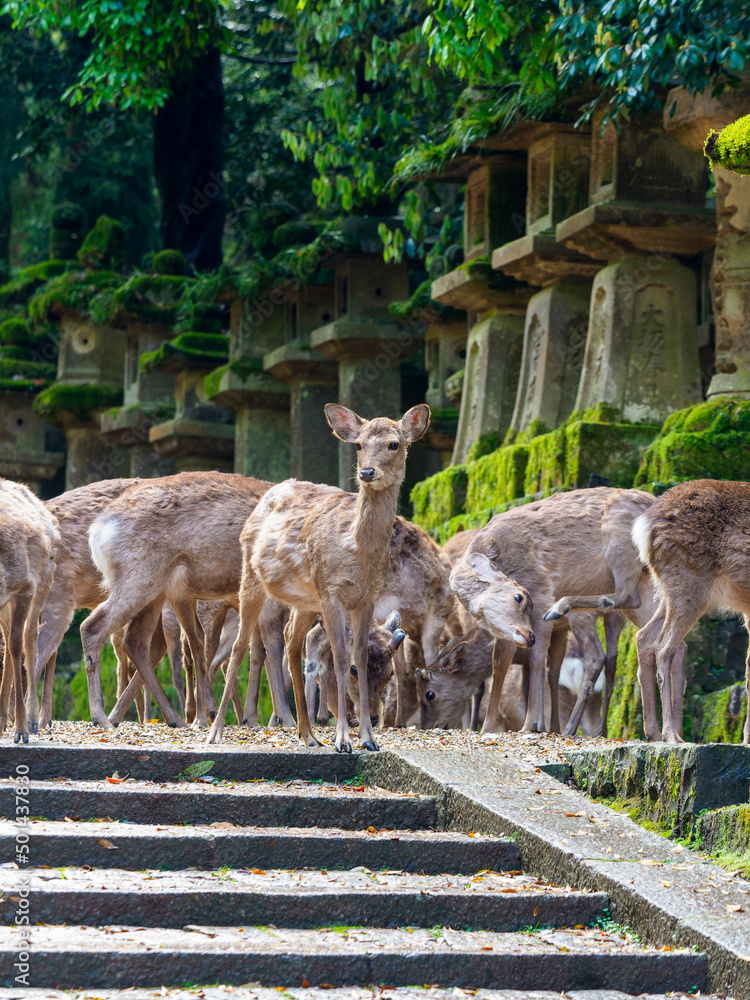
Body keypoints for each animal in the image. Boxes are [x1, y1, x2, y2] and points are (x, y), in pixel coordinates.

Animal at [207, 402, 428, 752]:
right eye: (359, 445)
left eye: (395, 444)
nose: (367, 473)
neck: (357, 549)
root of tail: (269, 492)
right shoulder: (330, 591)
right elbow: (340, 655)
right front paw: (343, 740)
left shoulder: (368, 596)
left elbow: (358, 650)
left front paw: (369, 739)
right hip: (252, 577)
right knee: (241, 646)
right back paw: (215, 731)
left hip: (304, 600)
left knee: (291, 641)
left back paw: (308, 735)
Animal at [456, 490, 680, 736]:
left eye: (520, 597)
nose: (528, 636)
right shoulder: (507, 632)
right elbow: (499, 664)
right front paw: (486, 728)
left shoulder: (541, 593)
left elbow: (536, 659)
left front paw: (529, 725)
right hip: (648, 585)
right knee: (668, 640)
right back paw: (665, 731)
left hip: (621, 541)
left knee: (623, 609)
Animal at [636, 476, 750, 744]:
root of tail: (644, 526)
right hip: (688, 583)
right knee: (663, 647)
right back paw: (672, 735)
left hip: (669, 590)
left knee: (643, 637)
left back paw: (653, 733)